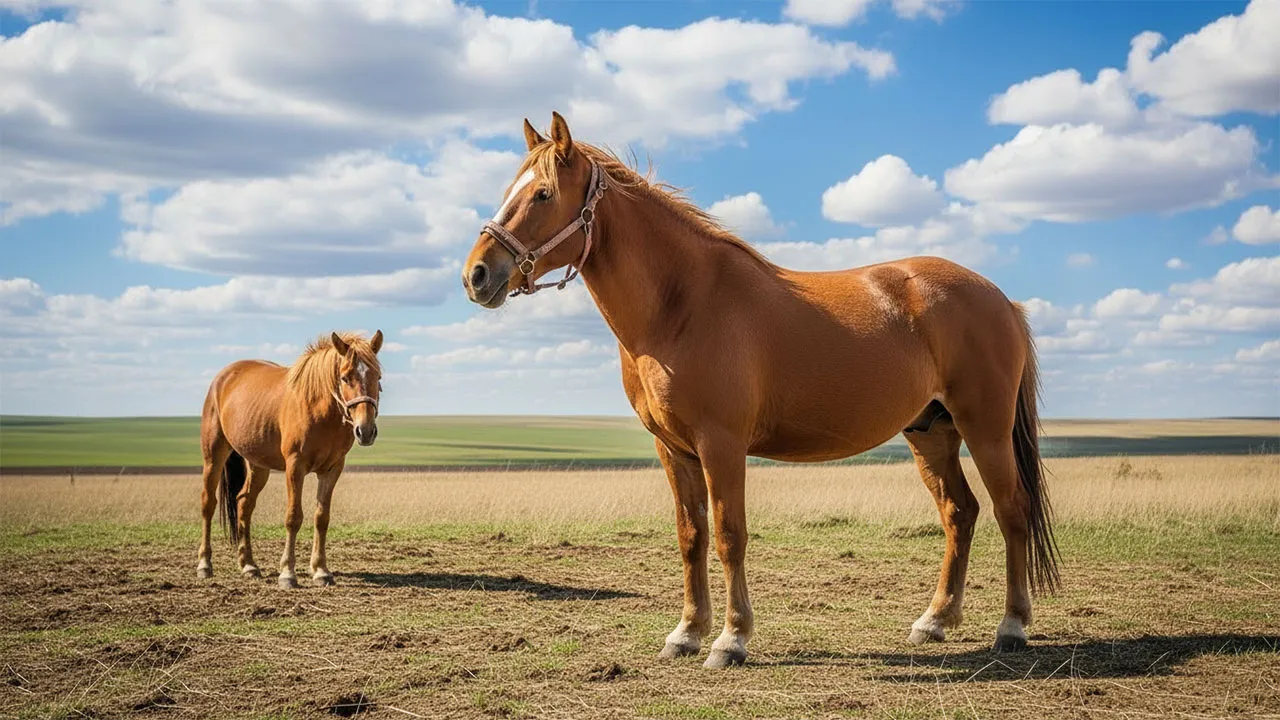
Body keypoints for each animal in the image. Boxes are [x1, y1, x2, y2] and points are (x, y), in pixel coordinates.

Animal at [195, 331, 385, 589]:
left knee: (244, 503)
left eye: (378, 377)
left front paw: (321, 570)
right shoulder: (295, 467)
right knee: (208, 504)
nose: (365, 431)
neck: (319, 410)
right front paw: (288, 573)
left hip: (258, 464)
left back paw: (249, 565)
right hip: (214, 455)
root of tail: (223, 376)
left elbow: (321, 517)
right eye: (345, 378)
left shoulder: (332, 469)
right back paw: (205, 564)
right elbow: (293, 517)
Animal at [461, 112, 1061, 668]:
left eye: (542, 193)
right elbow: (691, 536)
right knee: (960, 513)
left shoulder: (721, 445)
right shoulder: (673, 449)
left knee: (1011, 510)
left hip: (986, 430)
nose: (477, 275)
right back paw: (934, 621)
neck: (682, 305)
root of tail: (1000, 298)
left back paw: (1011, 627)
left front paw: (731, 640)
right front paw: (686, 633)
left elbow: (730, 535)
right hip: (930, 433)